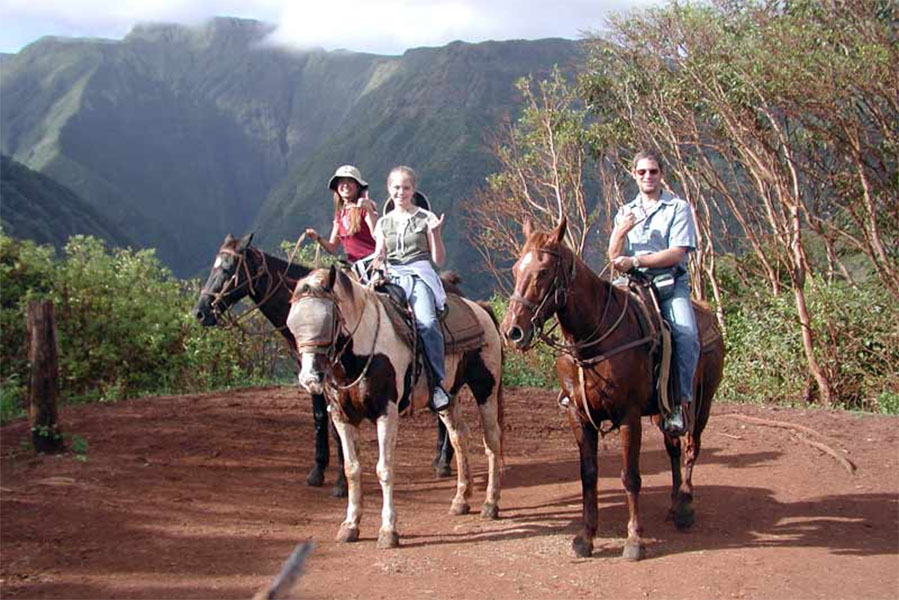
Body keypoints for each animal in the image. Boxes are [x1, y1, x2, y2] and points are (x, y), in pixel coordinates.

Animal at [192, 234, 454, 496]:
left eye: (228, 269)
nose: (200, 312)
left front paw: (340, 483)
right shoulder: (314, 377)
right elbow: (320, 417)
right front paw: (318, 470)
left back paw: (444, 461)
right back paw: (439, 459)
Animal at [288, 268, 502, 548]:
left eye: (328, 320)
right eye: (292, 325)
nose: (310, 378)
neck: (363, 348)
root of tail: (481, 309)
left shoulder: (386, 413)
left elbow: (385, 469)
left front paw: (388, 530)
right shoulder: (342, 417)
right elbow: (352, 469)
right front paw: (350, 525)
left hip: (486, 388)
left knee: (492, 440)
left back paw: (490, 503)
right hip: (449, 397)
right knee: (459, 437)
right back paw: (460, 500)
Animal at [502, 217, 728, 564]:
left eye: (543, 272)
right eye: (516, 269)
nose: (512, 330)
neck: (593, 339)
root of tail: (707, 314)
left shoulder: (628, 416)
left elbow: (629, 476)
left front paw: (634, 540)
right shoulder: (578, 416)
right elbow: (588, 475)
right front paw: (586, 537)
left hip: (703, 401)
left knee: (691, 447)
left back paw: (686, 506)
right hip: (664, 411)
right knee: (673, 448)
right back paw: (675, 504)